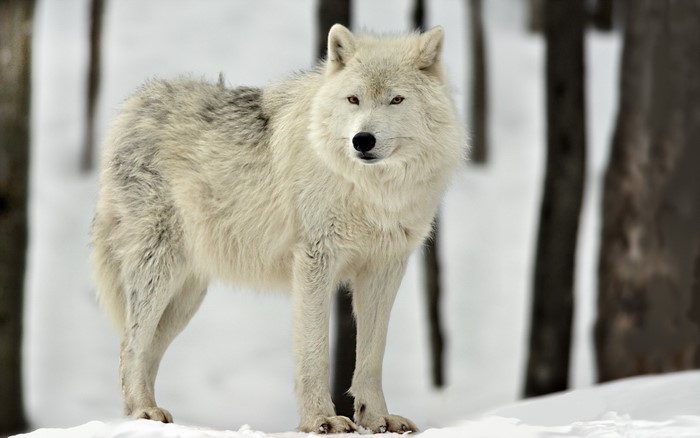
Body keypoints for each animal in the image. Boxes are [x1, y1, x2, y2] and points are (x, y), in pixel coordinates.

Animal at [91, 24, 464, 433]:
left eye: (396, 100)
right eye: (354, 99)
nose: (362, 140)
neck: (372, 190)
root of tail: (131, 108)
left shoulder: (384, 269)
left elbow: (372, 355)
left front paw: (377, 418)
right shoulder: (315, 261)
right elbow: (315, 351)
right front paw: (321, 420)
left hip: (186, 297)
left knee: (147, 350)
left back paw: (146, 415)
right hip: (159, 274)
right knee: (130, 345)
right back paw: (144, 412)